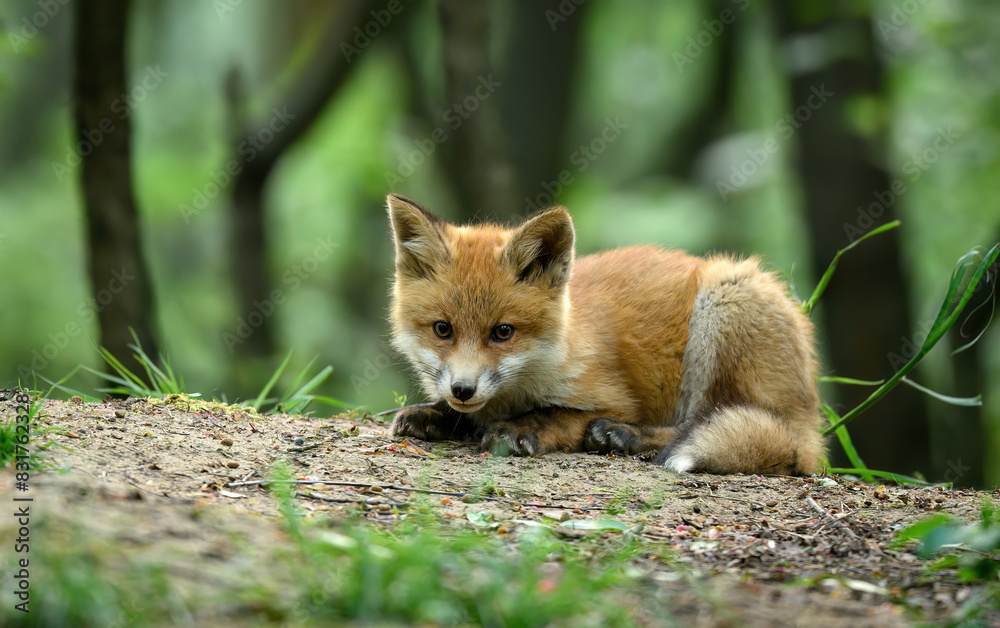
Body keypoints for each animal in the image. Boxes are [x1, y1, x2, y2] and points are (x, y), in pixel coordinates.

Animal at [385, 193, 825, 474]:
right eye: (443, 329)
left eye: (503, 332)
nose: (463, 390)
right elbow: (460, 413)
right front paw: (437, 414)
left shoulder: (615, 396)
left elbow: (557, 414)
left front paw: (521, 428)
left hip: (724, 298)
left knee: (707, 425)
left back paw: (623, 436)